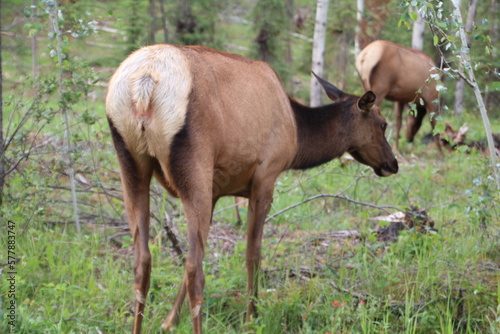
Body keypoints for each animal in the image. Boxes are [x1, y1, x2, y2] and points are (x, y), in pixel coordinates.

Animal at [106, 44, 398, 334]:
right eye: (382, 123)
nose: (392, 163)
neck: (298, 135)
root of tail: (147, 81)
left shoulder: (216, 190)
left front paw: (169, 321)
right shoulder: (265, 178)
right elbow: (253, 254)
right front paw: (251, 317)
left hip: (131, 163)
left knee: (143, 261)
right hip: (193, 166)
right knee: (193, 267)